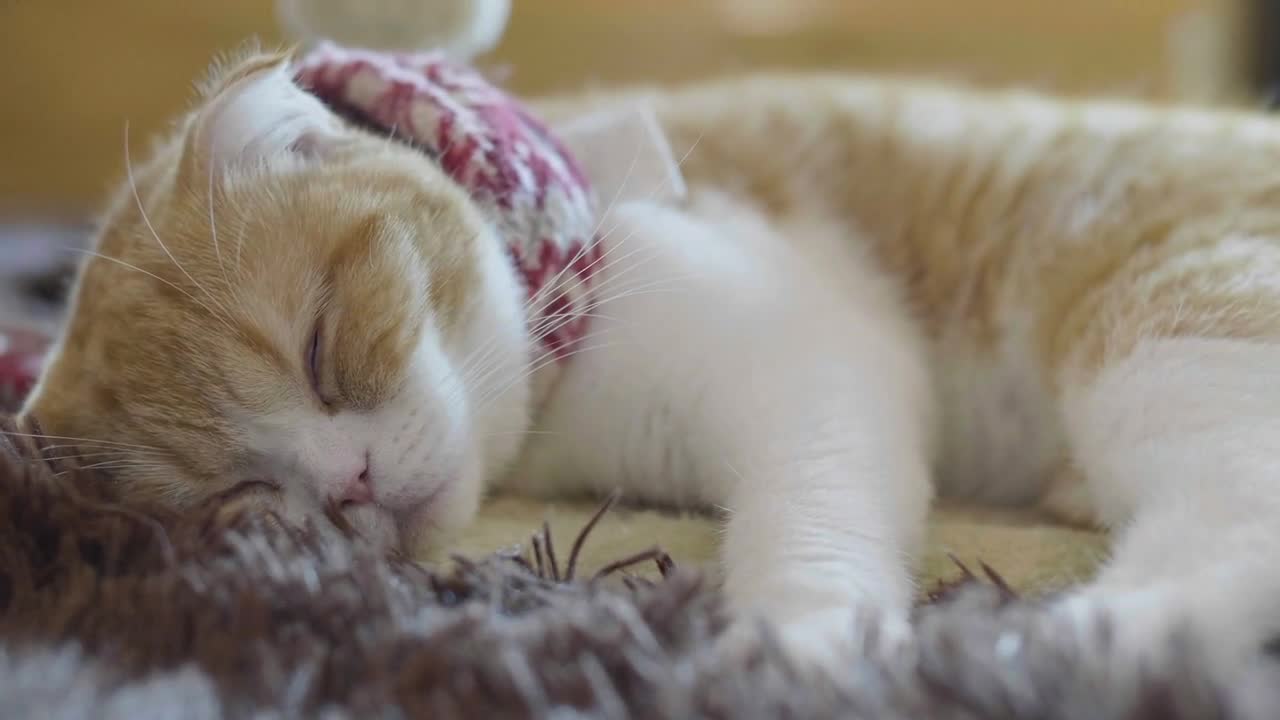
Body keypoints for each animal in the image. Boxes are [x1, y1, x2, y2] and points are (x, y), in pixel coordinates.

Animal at [20, 47, 1280, 671]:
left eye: (322, 348)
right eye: (244, 496)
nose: (348, 488)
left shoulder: (802, 370)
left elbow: (805, 529)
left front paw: (797, 651)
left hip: (1171, 335)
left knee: (1228, 536)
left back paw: (1030, 650)